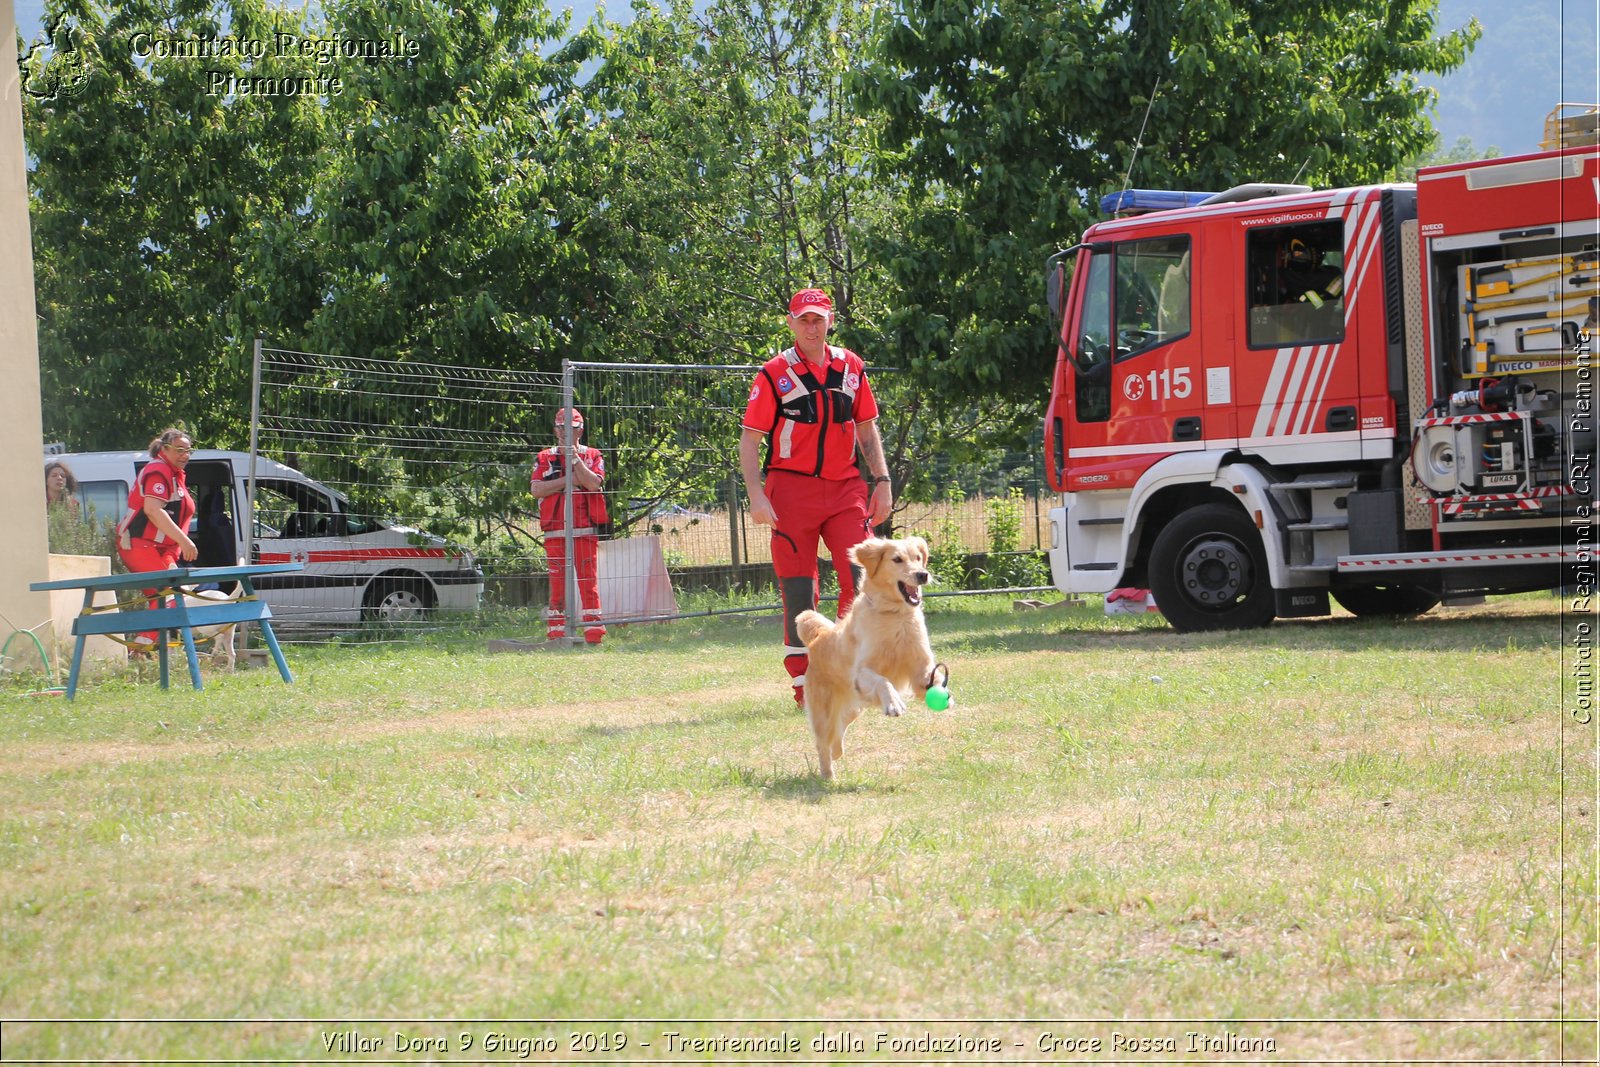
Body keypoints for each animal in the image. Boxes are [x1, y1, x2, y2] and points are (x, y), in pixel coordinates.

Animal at [790, 537, 940, 780]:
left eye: (918, 558)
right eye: (897, 559)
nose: (922, 574)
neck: (895, 615)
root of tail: (817, 638)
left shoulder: (920, 665)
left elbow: (932, 677)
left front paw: (942, 692)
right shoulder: (862, 673)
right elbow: (883, 681)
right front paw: (894, 704)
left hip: (854, 707)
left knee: (839, 728)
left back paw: (837, 751)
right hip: (824, 710)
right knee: (823, 741)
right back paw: (828, 774)